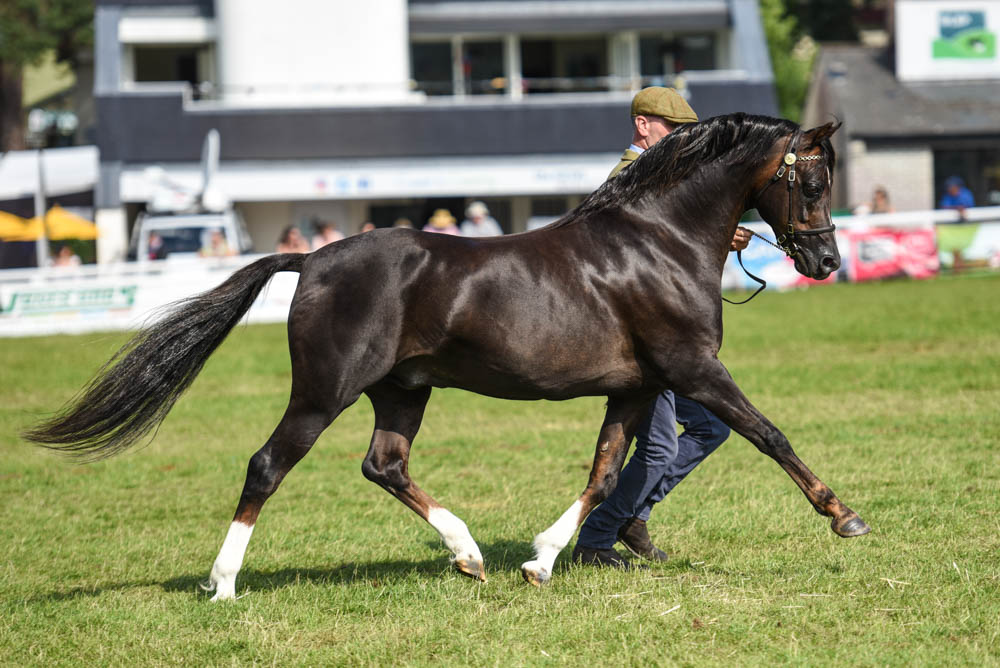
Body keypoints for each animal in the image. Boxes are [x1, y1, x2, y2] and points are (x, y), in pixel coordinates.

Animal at [23, 112, 868, 596]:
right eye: (814, 181)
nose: (827, 262)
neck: (656, 242)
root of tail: (312, 258)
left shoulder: (634, 388)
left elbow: (602, 475)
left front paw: (541, 560)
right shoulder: (694, 370)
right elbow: (769, 434)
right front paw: (845, 516)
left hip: (403, 390)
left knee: (384, 465)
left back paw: (469, 555)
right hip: (324, 390)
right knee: (267, 465)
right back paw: (223, 583)